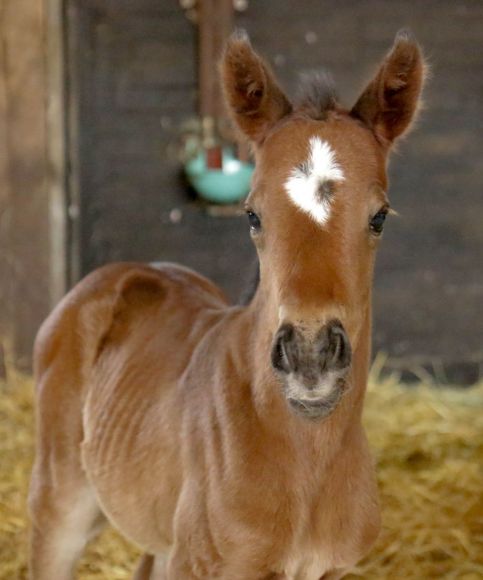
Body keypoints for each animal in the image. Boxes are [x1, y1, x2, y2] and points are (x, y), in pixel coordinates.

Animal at [28, 31, 426, 580]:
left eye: (380, 217)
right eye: (252, 214)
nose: (310, 356)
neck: (307, 460)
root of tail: (121, 272)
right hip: (61, 505)